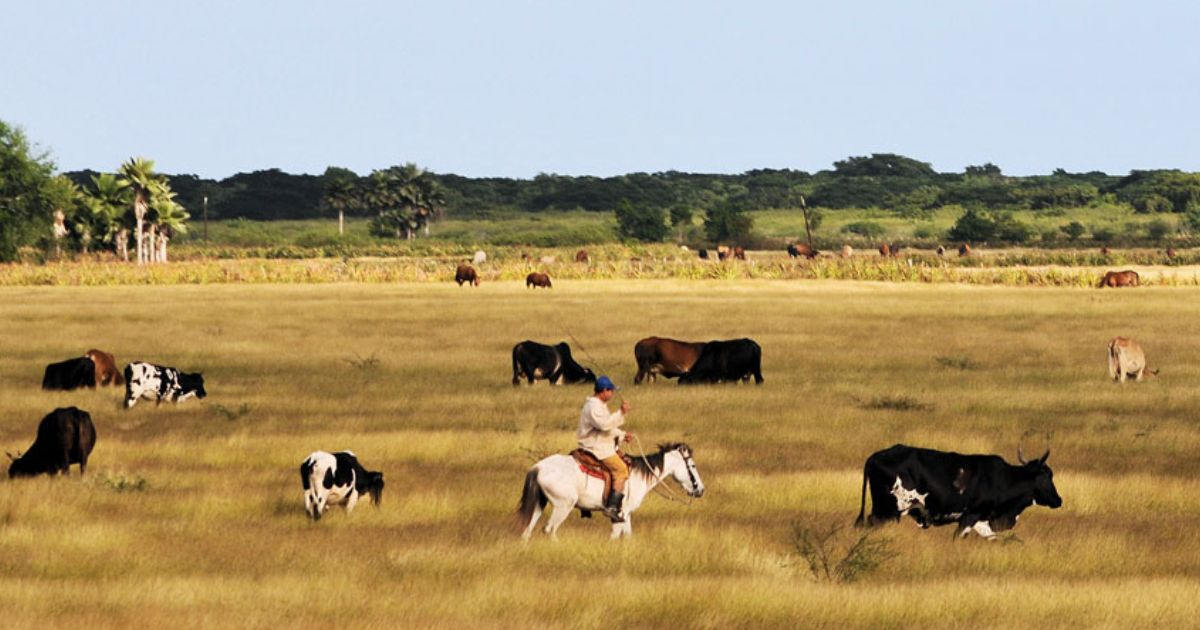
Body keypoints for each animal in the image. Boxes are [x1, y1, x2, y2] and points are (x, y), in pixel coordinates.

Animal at [855, 444, 1062, 540]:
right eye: (1047, 476)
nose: (1058, 500)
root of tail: (874, 457)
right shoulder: (970, 516)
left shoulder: (983, 521)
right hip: (886, 511)